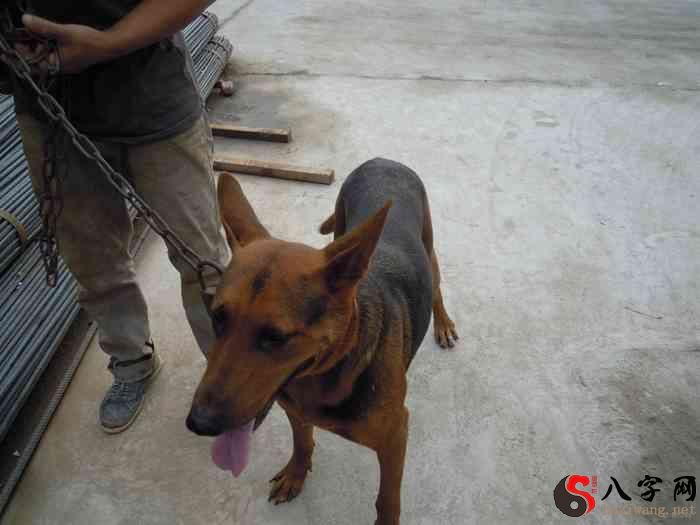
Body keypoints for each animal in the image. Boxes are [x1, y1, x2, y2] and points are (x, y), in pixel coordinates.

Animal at [187, 158, 458, 524]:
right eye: (217, 318)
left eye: (275, 337)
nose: (199, 423)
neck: (327, 372)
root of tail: (382, 160)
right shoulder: (295, 408)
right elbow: (302, 443)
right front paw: (296, 474)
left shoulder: (395, 436)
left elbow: (387, 499)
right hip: (342, 228)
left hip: (427, 251)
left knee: (437, 287)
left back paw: (443, 323)